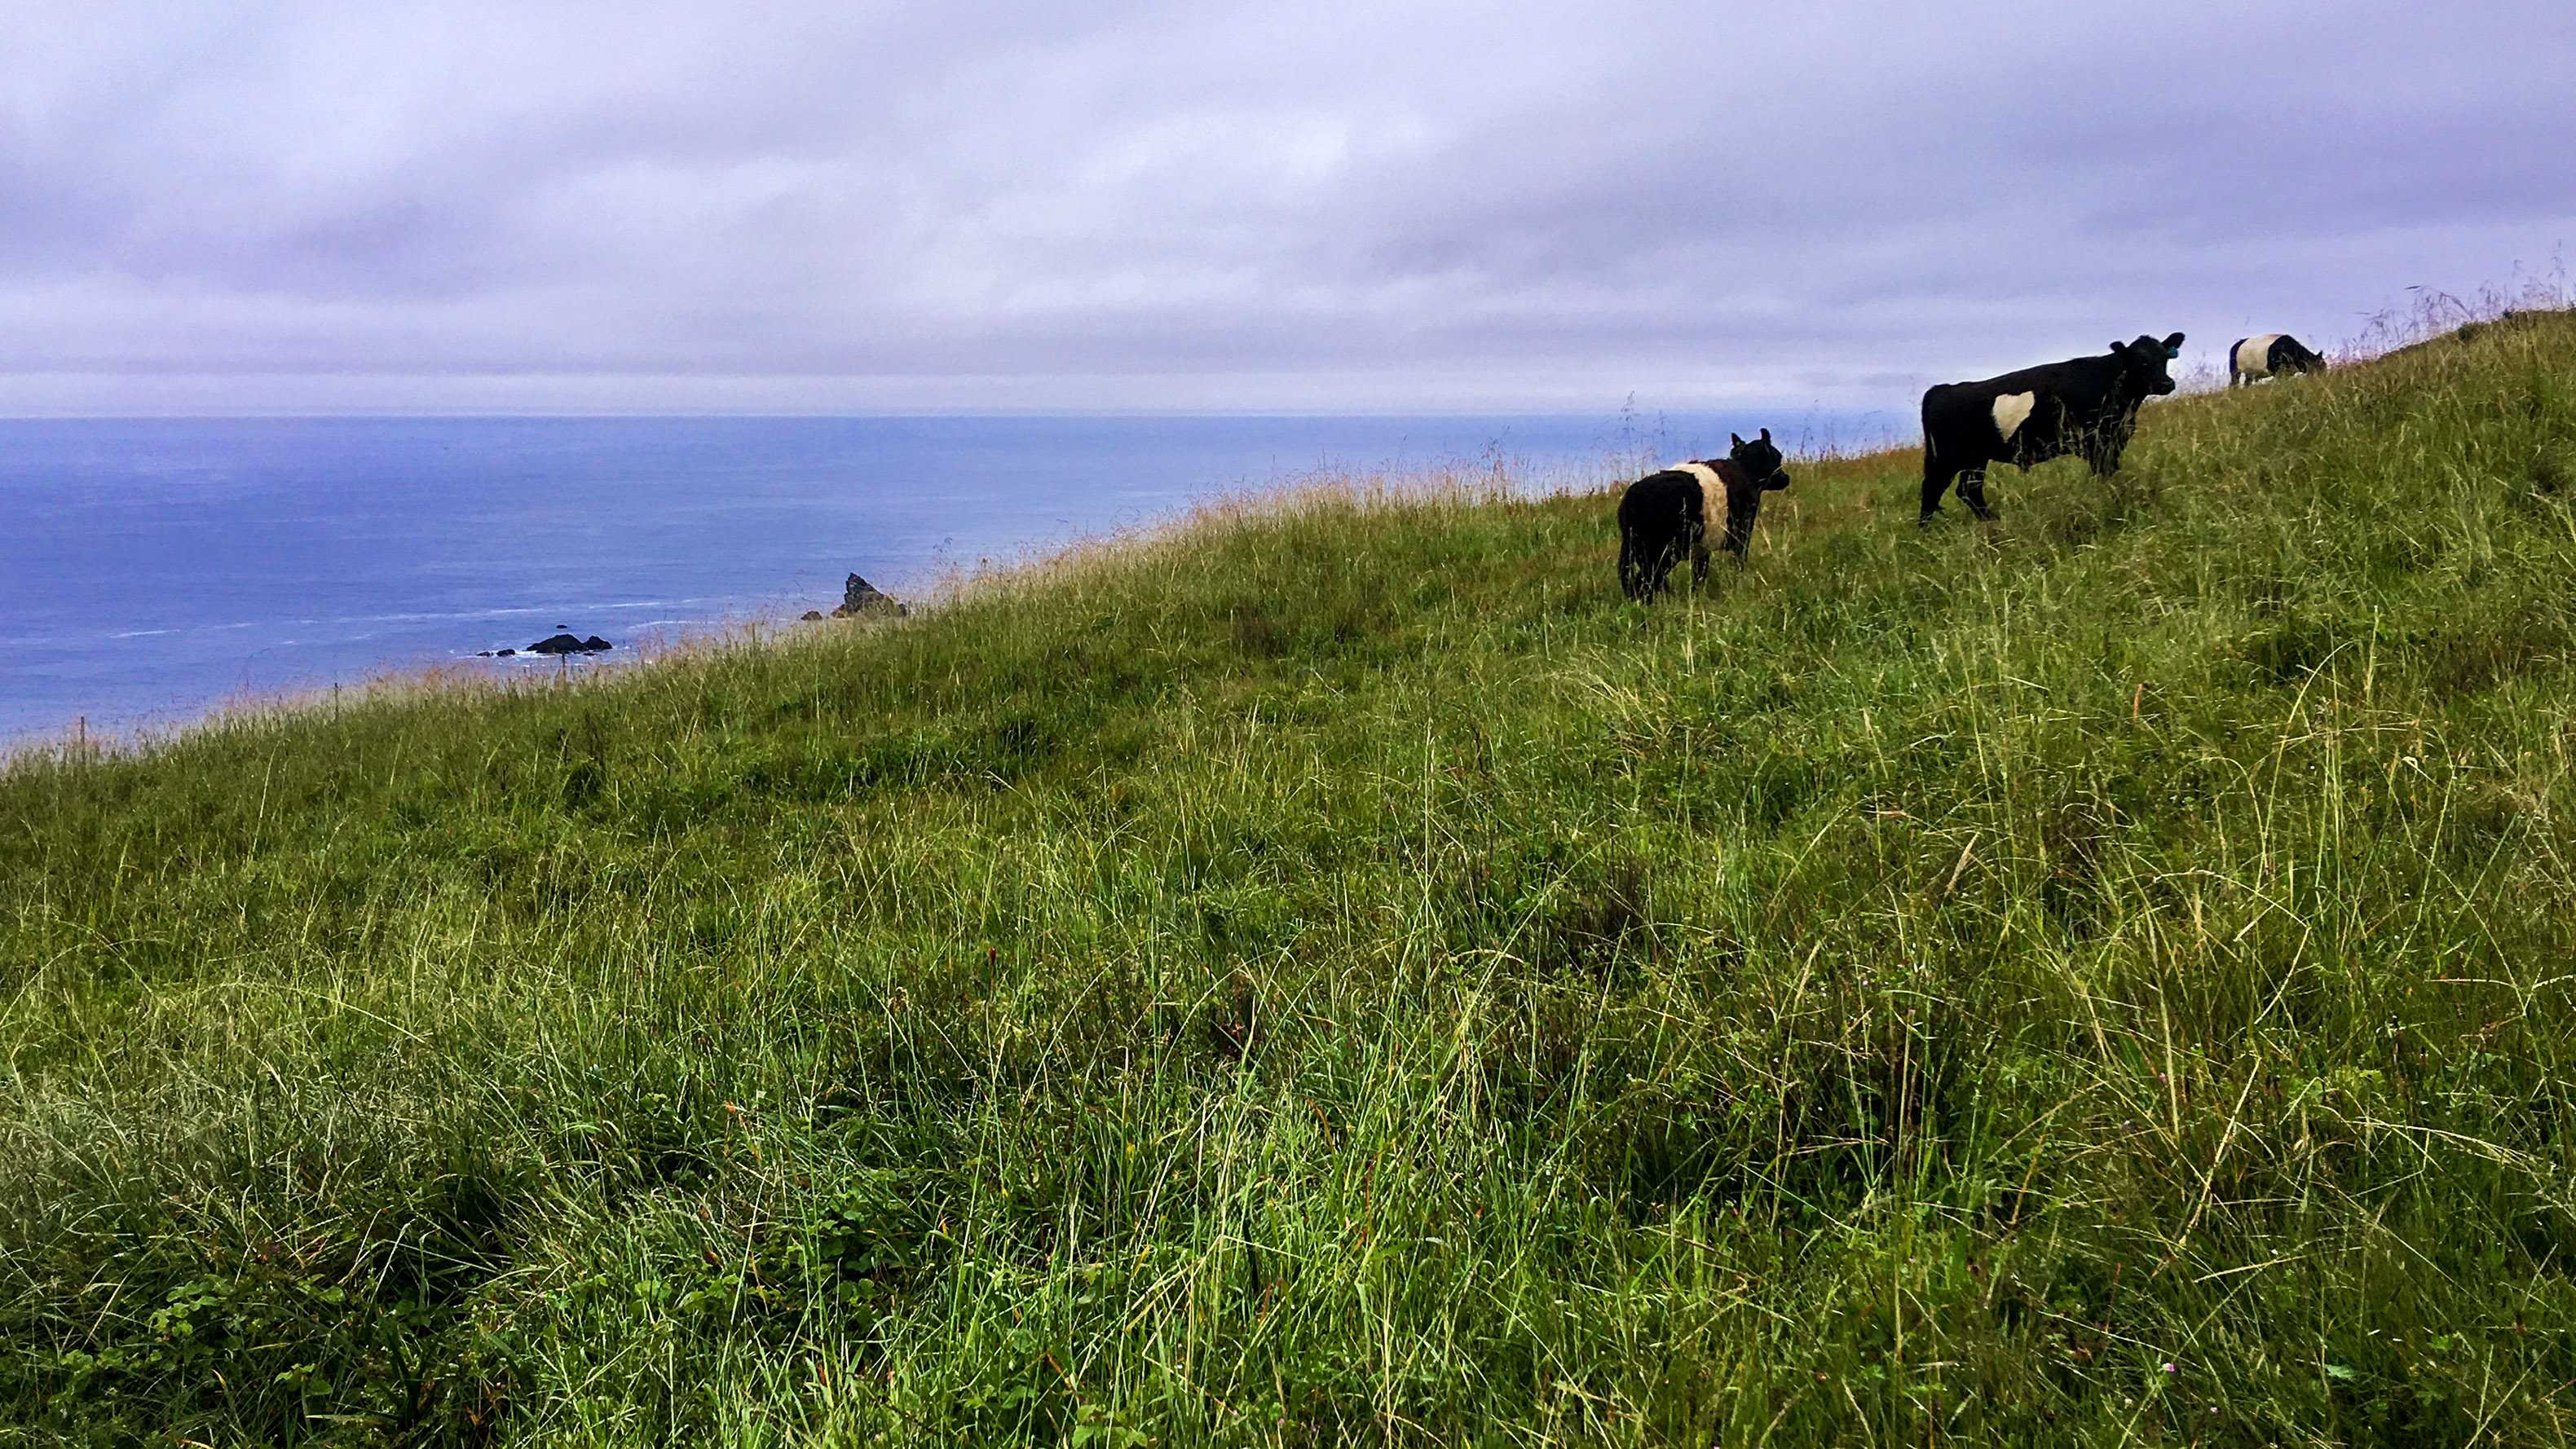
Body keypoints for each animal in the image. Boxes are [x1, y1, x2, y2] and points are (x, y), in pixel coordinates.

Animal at [1607, 427, 1793, 597]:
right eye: (1777, 457)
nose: (1786, 478)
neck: (1746, 471)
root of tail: (1634, 494)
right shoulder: (1743, 532)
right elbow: (1737, 562)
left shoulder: (1703, 546)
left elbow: (1699, 573)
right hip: (1661, 549)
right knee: (1646, 579)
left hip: (1634, 546)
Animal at [1926, 332, 2184, 525]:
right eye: (2141, 362)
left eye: (2165, 358)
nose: (2166, 384)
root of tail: (1943, 388)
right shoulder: (2096, 443)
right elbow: (2104, 475)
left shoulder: (2113, 441)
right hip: (1955, 457)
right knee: (1937, 490)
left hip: (1974, 459)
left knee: (1964, 491)